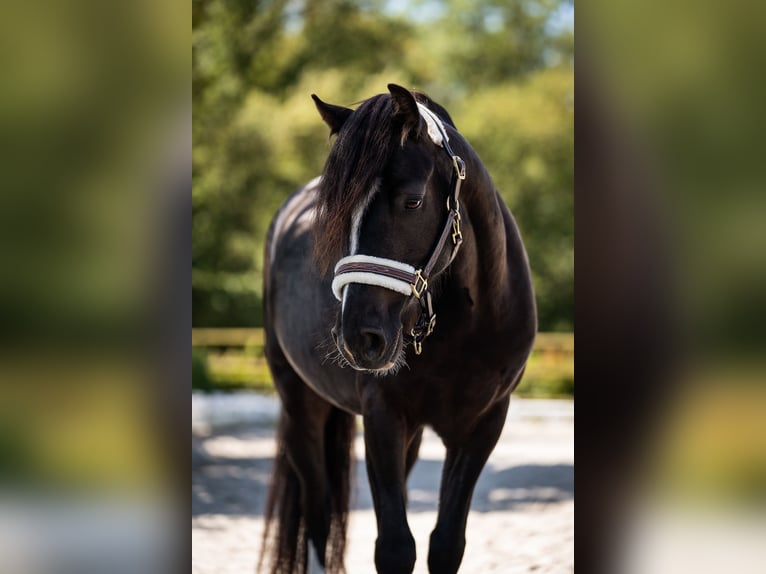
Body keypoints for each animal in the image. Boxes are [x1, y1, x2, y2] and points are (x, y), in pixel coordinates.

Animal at [259, 84, 537, 574]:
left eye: (412, 201)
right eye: (336, 213)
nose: (359, 339)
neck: (464, 328)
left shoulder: (485, 423)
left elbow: (445, 544)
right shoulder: (383, 417)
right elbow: (394, 547)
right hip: (298, 401)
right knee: (317, 508)